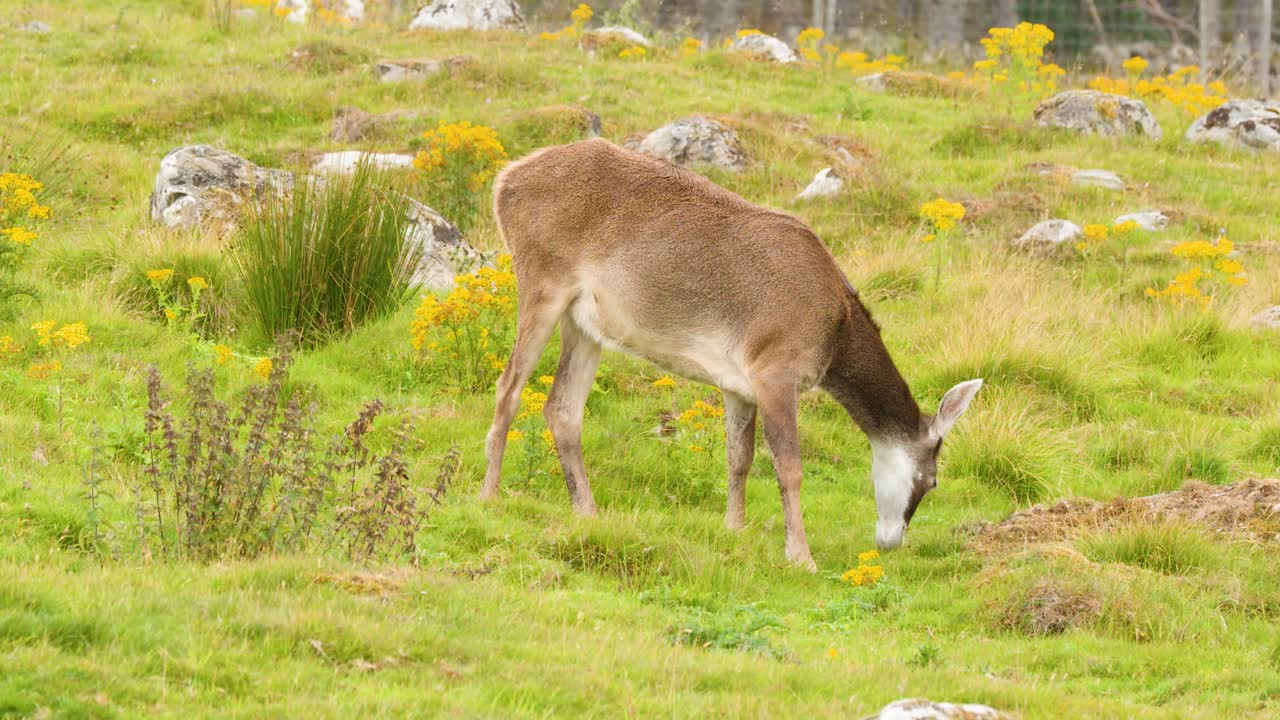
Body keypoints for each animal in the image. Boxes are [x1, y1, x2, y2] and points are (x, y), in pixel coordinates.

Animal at [478, 138, 982, 569]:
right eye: (933, 480)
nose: (892, 541)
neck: (833, 332)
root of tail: (504, 181)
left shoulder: (738, 383)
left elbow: (740, 457)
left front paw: (734, 528)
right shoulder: (775, 367)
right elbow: (789, 467)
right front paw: (801, 556)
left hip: (586, 322)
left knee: (562, 407)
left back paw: (586, 511)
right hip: (542, 277)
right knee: (508, 385)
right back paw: (490, 493)